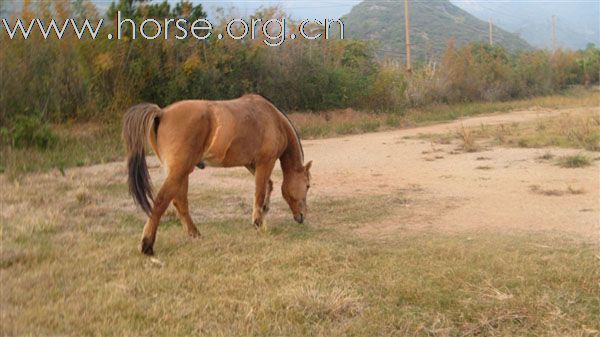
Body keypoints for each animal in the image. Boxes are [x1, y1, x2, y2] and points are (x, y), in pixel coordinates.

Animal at [120, 93, 312, 253]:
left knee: (179, 202)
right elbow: (259, 192)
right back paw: (147, 244)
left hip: (181, 173)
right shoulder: (265, 162)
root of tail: (162, 113)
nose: (302, 217)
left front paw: (263, 213)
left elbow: (268, 186)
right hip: (179, 171)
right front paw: (258, 222)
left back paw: (195, 234)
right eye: (308, 185)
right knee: (161, 201)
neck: (273, 119)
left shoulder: (252, 164)